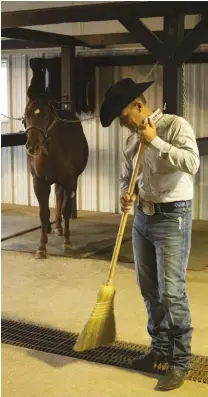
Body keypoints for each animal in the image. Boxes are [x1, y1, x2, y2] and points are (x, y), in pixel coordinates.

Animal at [24, 93, 88, 260]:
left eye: (46, 116)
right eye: (26, 115)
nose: (32, 147)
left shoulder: (70, 182)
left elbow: (66, 210)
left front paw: (67, 243)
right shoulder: (39, 182)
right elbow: (43, 212)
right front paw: (41, 247)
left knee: (60, 196)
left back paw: (59, 228)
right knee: (57, 196)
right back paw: (54, 227)